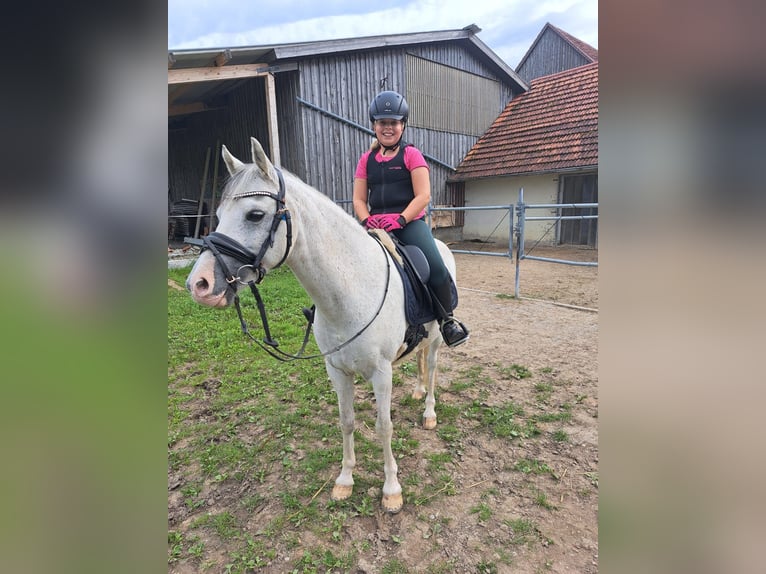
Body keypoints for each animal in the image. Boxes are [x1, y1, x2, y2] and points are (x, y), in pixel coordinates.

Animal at [186, 137, 461, 513]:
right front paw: (345, 481)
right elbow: (346, 422)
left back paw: (429, 410)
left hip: (435, 339)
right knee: (418, 362)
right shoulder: (337, 369)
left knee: (431, 367)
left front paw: (391, 490)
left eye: (255, 214)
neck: (351, 289)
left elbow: (384, 426)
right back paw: (418, 391)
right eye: (217, 216)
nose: (199, 284)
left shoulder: (381, 372)